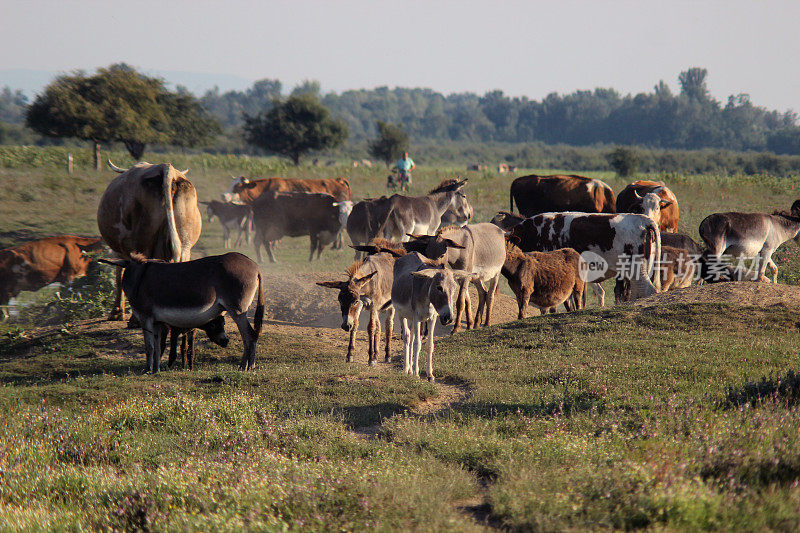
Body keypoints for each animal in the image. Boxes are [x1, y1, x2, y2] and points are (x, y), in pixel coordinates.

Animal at [97, 161, 203, 320]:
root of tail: (166, 167)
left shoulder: (119, 250)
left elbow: (119, 277)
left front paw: (116, 312)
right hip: (185, 243)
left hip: (143, 242)